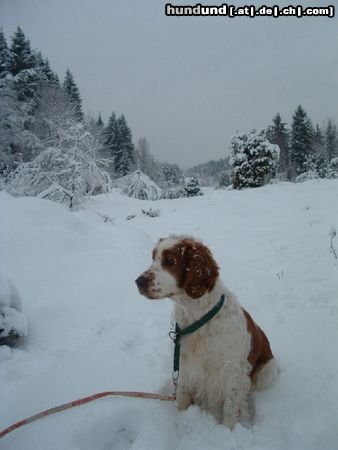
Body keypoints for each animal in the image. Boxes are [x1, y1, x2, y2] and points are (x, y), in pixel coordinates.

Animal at [135, 236, 278, 428]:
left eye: (170, 261)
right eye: (153, 258)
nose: (138, 281)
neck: (198, 317)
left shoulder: (232, 371)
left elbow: (231, 408)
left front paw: (229, 430)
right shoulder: (185, 364)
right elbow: (182, 395)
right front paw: (180, 417)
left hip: (267, 372)